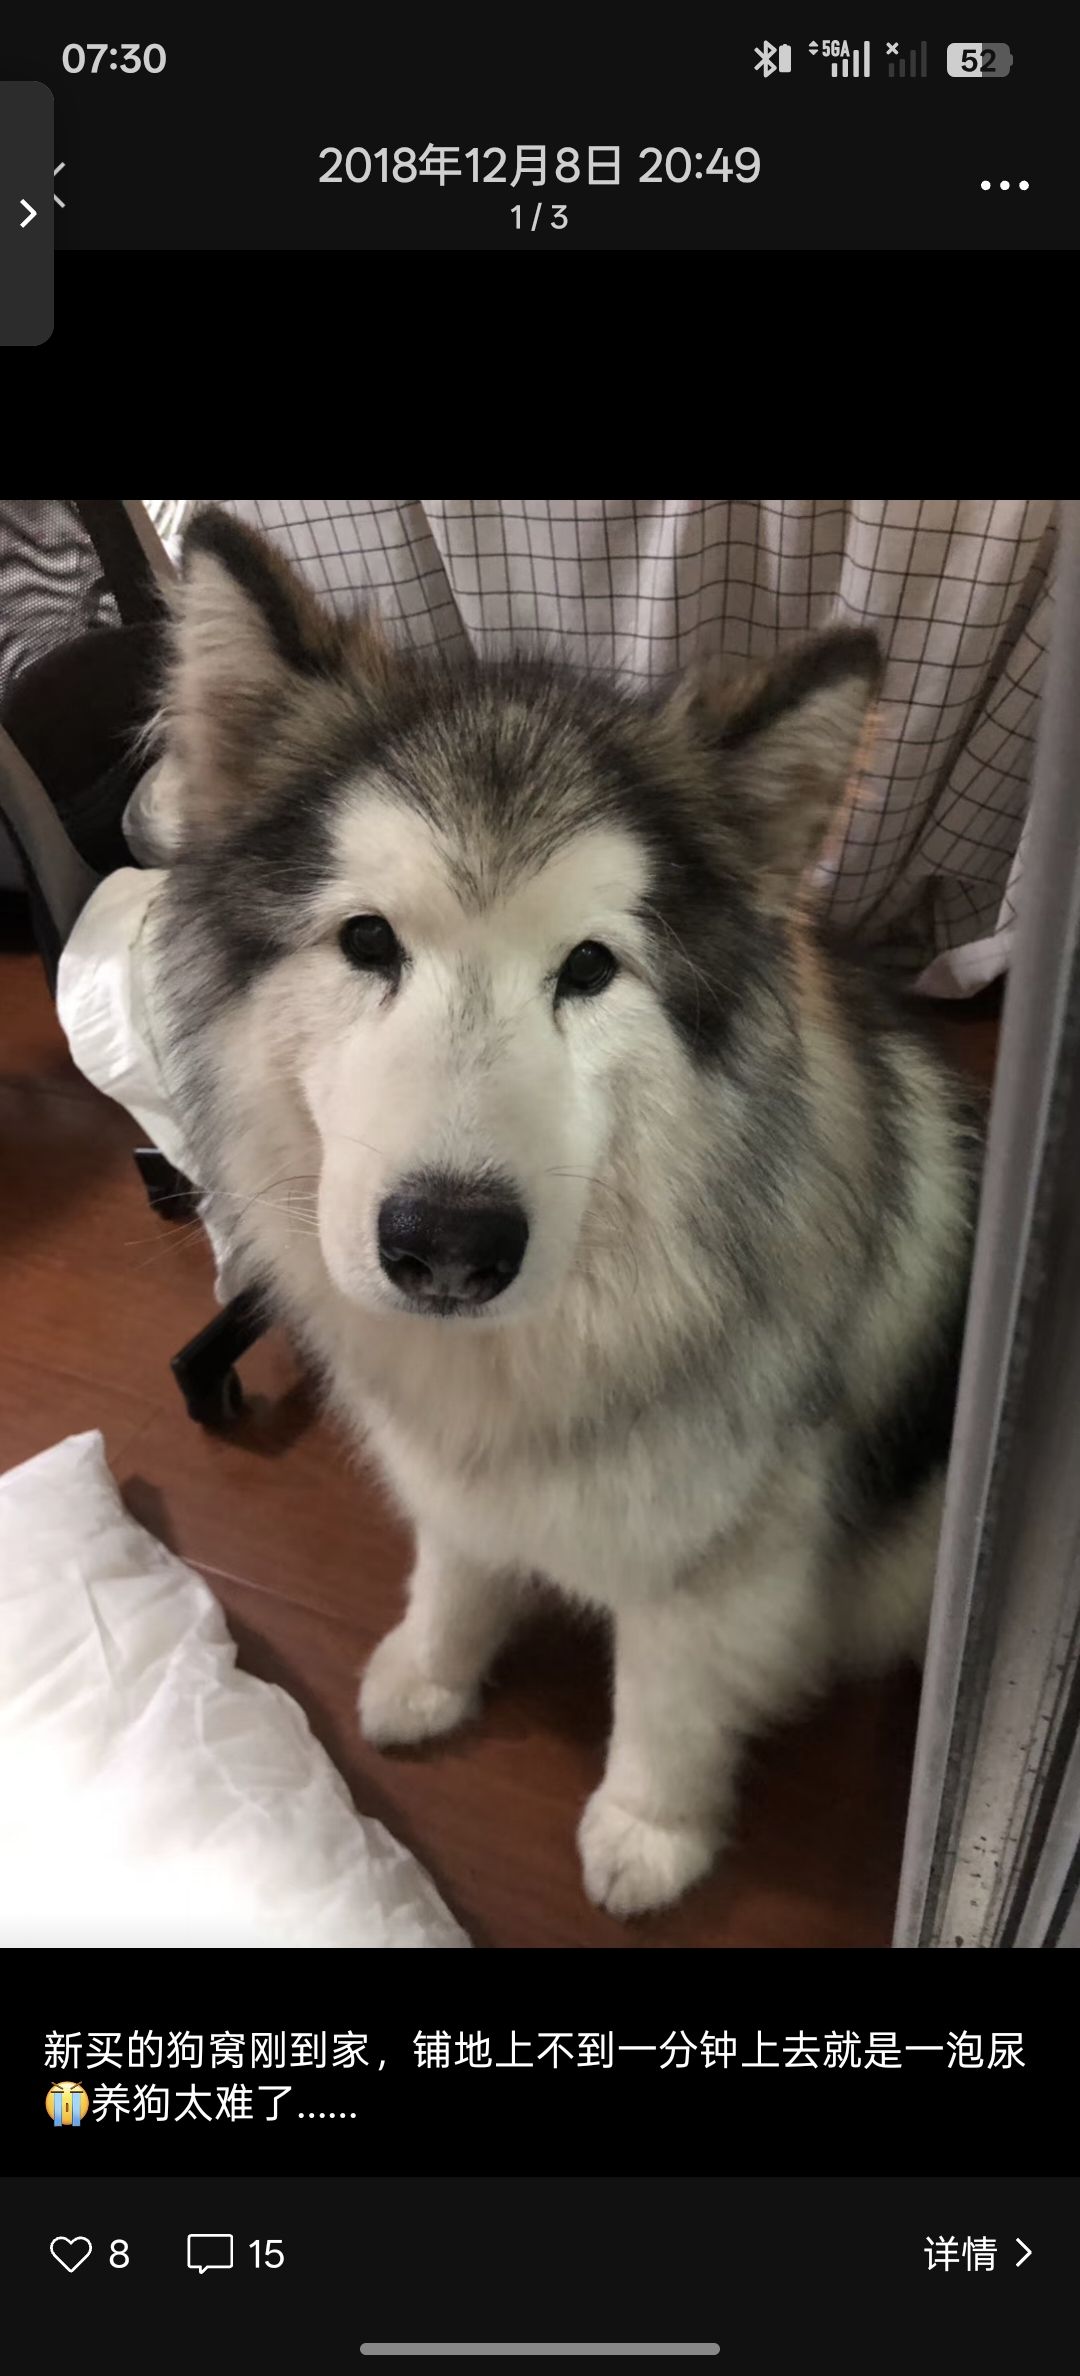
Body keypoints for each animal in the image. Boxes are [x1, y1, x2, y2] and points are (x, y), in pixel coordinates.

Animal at [152, 506, 984, 1920]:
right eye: (367, 941)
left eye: (590, 968)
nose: (448, 1245)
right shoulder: (454, 1473)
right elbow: (456, 1563)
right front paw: (432, 1670)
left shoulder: (723, 1564)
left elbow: (667, 1697)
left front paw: (651, 1830)